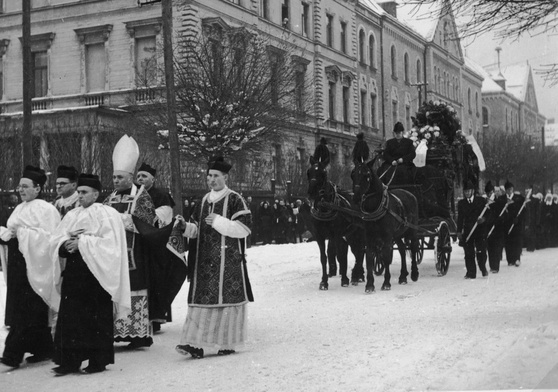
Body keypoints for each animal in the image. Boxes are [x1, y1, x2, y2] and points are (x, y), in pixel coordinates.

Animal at [354, 135, 420, 290]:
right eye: (353, 175)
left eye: (366, 175)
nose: (356, 197)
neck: (376, 207)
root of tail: (408, 192)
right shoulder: (370, 236)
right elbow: (370, 257)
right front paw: (369, 285)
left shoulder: (387, 236)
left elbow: (385, 255)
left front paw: (386, 283)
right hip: (398, 233)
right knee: (402, 249)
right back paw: (403, 276)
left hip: (411, 229)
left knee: (414, 247)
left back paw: (414, 273)